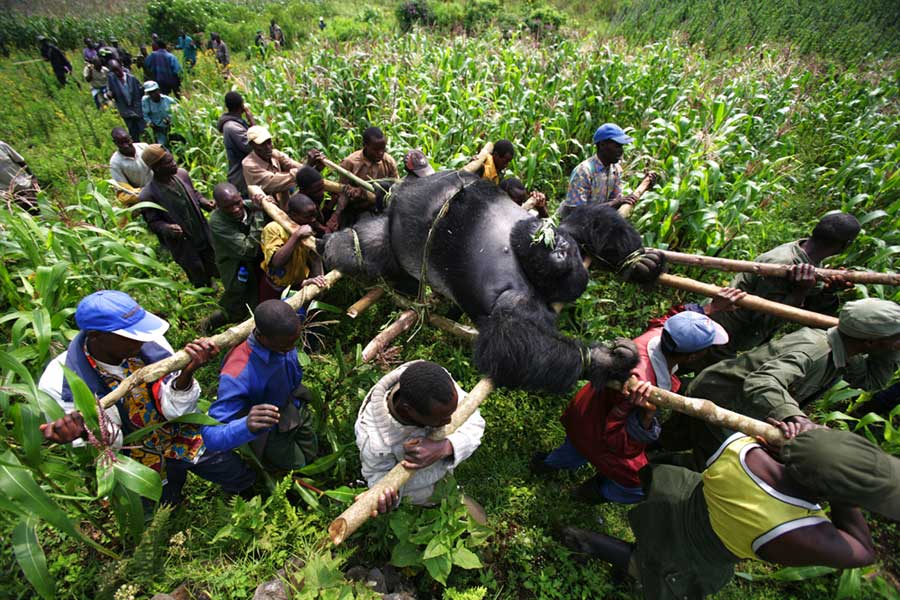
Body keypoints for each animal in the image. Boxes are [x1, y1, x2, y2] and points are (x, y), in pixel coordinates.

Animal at [320, 171, 664, 392]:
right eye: (560, 250)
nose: (555, 248)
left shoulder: (525, 285)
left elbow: (510, 342)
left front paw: (638, 263)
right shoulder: (546, 239)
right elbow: (509, 343)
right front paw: (604, 360)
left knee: (369, 244)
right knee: (364, 242)